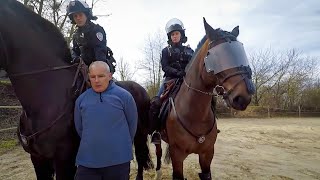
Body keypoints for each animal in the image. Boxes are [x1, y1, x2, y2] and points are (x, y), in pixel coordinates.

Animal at [154, 17, 256, 179]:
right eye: (217, 56)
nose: (243, 97)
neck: (195, 114)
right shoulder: (178, 155)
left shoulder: (207, 154)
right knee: (157, 152)